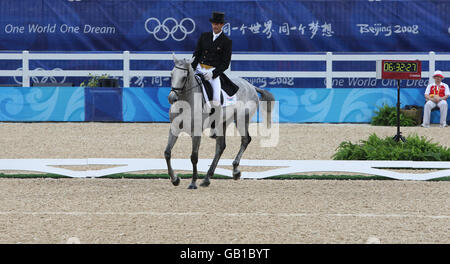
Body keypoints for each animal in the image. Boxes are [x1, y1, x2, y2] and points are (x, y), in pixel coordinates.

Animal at [163, 55, 272, 190]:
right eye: (171, 74)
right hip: (222, 124)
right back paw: (207, 178)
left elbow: (194, 157)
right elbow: (167, 153)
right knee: (221, 146)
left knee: (245, 140)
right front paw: (175, 179)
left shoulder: (196, 132)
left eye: (184, 77)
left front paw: (193, 182)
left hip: (241, 120)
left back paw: (235, 170)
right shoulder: (174, 128)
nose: (171, 98)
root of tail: (251, 86)